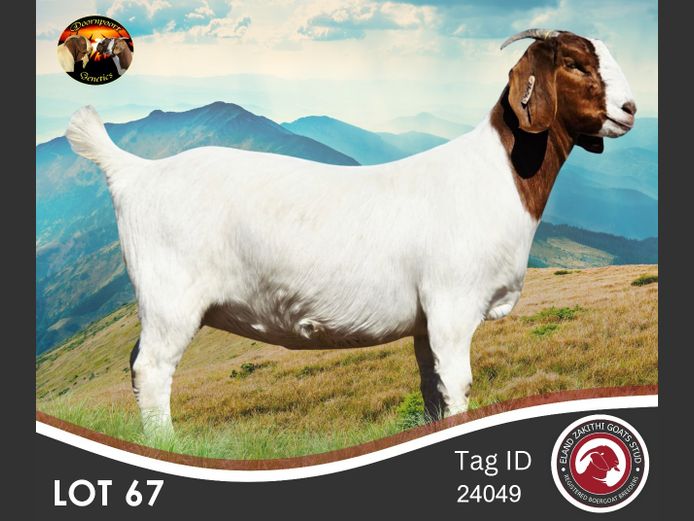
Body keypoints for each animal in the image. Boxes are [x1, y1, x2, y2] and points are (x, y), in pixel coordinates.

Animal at [65, 29, 636, 435]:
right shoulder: (452, 306)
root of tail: (135, 172)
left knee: (136, 365)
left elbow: (431, 387)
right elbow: (457, 386)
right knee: (152, 370)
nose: (631, 109)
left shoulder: (426, 323)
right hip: (170, 298)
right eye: (576, 63)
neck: (498, 174)